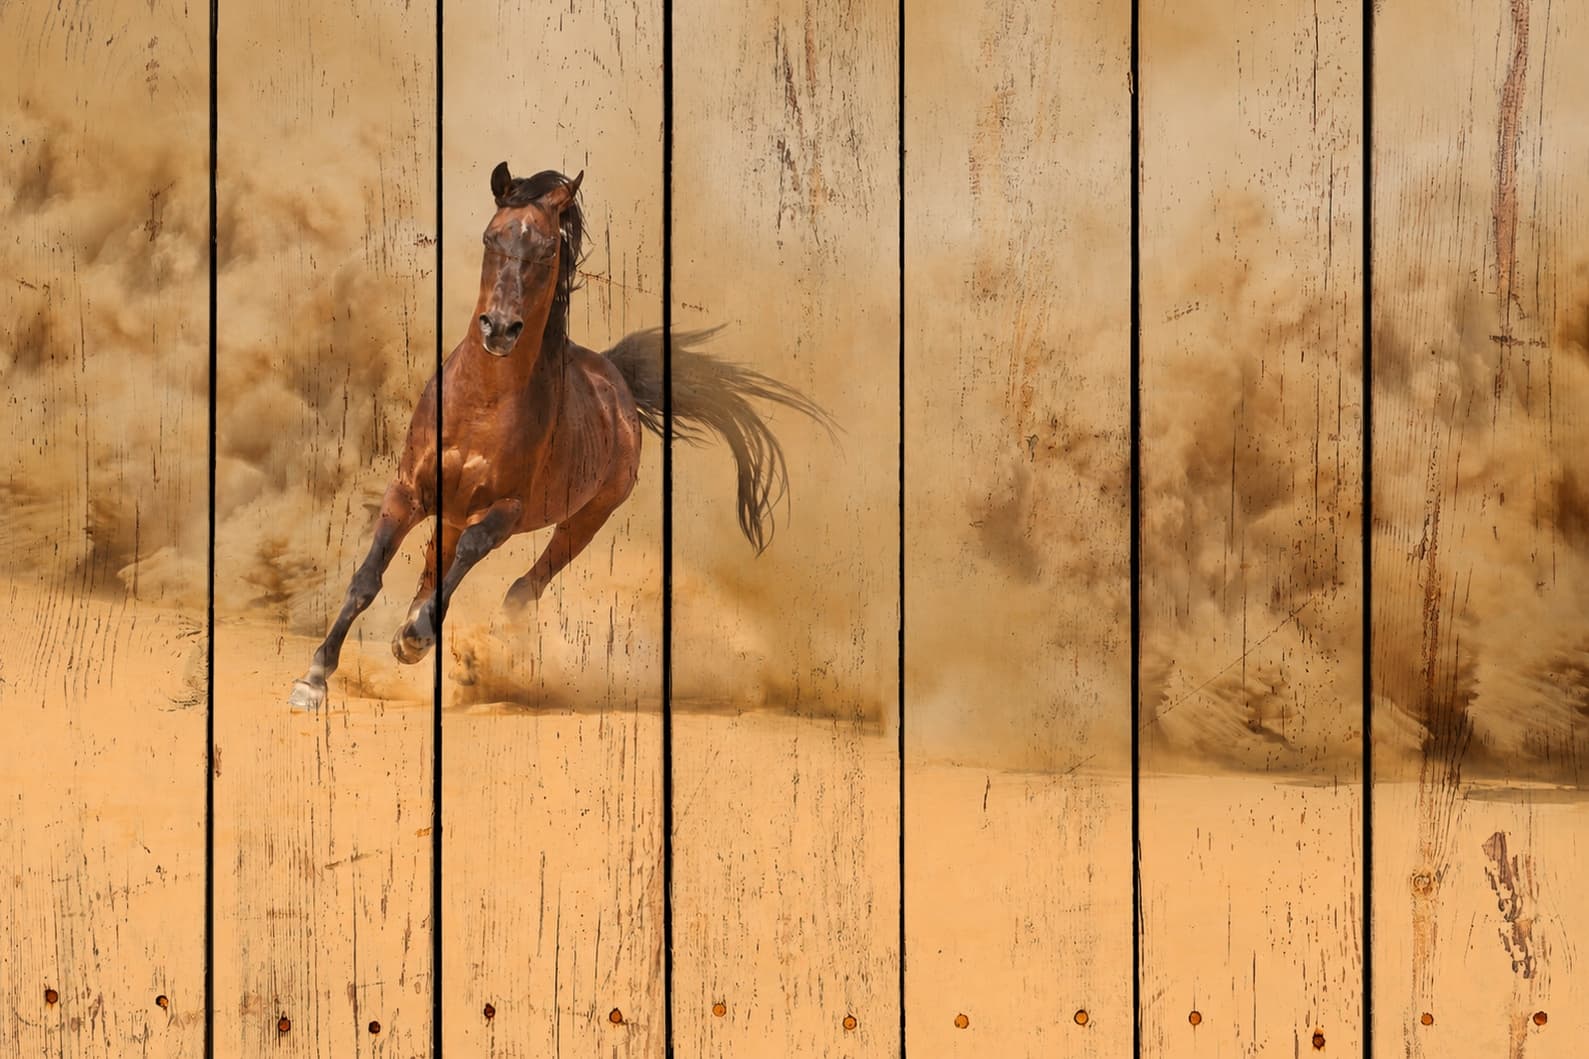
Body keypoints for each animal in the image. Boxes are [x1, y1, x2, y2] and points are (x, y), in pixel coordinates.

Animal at [289, 162, 831, 710]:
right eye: (492, 236)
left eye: (549, 248)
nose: (499, 328)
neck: (481, 405)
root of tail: (617, 380)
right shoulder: (408, 491)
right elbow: (366, 579)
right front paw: (314, 679)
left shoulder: (505, 512)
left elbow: (467, 559)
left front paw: (416, 639)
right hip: (455, 513)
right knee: (435, 572)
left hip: (584, 521)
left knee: (521, 589)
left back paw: (469, 658)